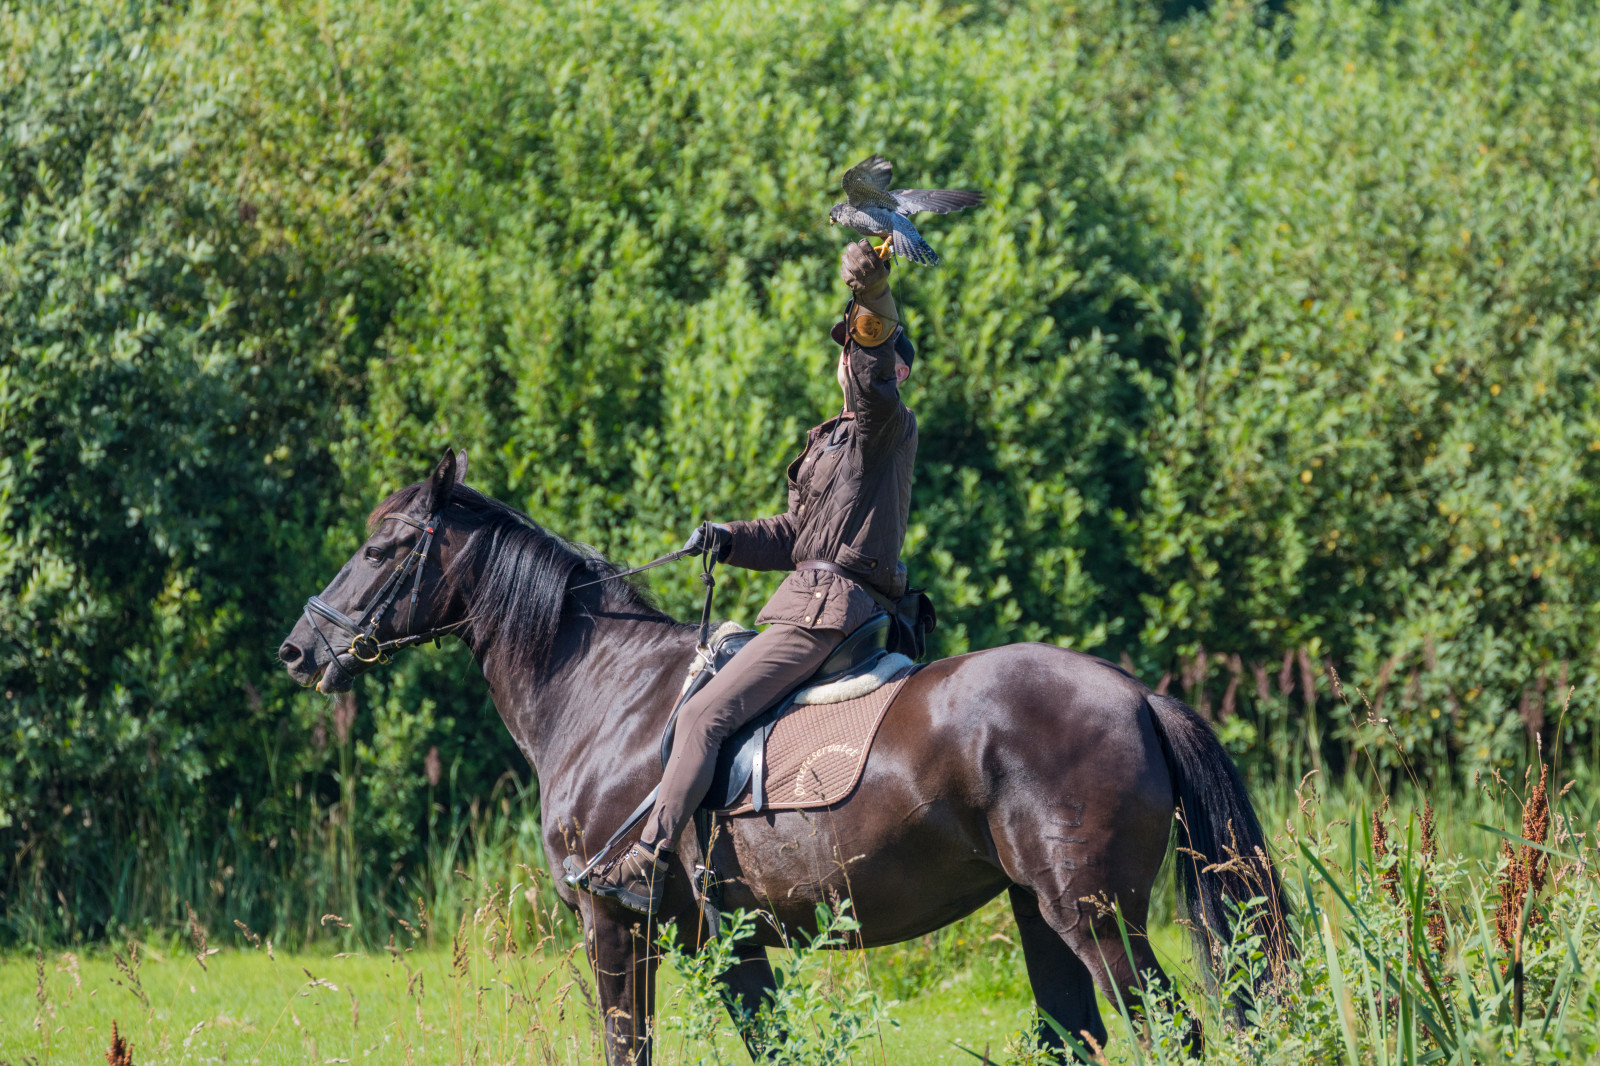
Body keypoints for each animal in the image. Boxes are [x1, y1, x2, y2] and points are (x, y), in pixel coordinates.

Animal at [278, 449, 1290, 1064]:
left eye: (384, 547)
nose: (300, 649)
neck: (599, 693)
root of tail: (1134, 693)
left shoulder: (616, 926)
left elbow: (627, 1046)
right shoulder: (729, 944)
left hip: (1097, 918)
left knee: (1170, 1033)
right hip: (1041, 915)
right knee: (1075, 1036)